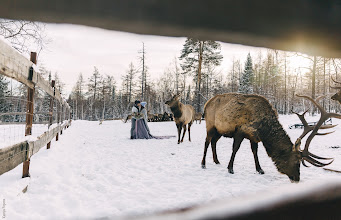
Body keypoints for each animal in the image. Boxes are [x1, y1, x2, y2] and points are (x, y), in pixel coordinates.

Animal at [199, 93, 340, 182]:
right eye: (297, 161)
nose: (297, 179)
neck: (264, 128)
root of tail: (205, 105)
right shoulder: (240, 131)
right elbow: (235, 149)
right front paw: (230, 169)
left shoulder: (254, 136)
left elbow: (254, 151)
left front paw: (260, 169)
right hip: (210, 125)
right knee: (206, 142)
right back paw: (203, 164)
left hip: (219, 130)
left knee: (213, 142)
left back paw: (216, 161)